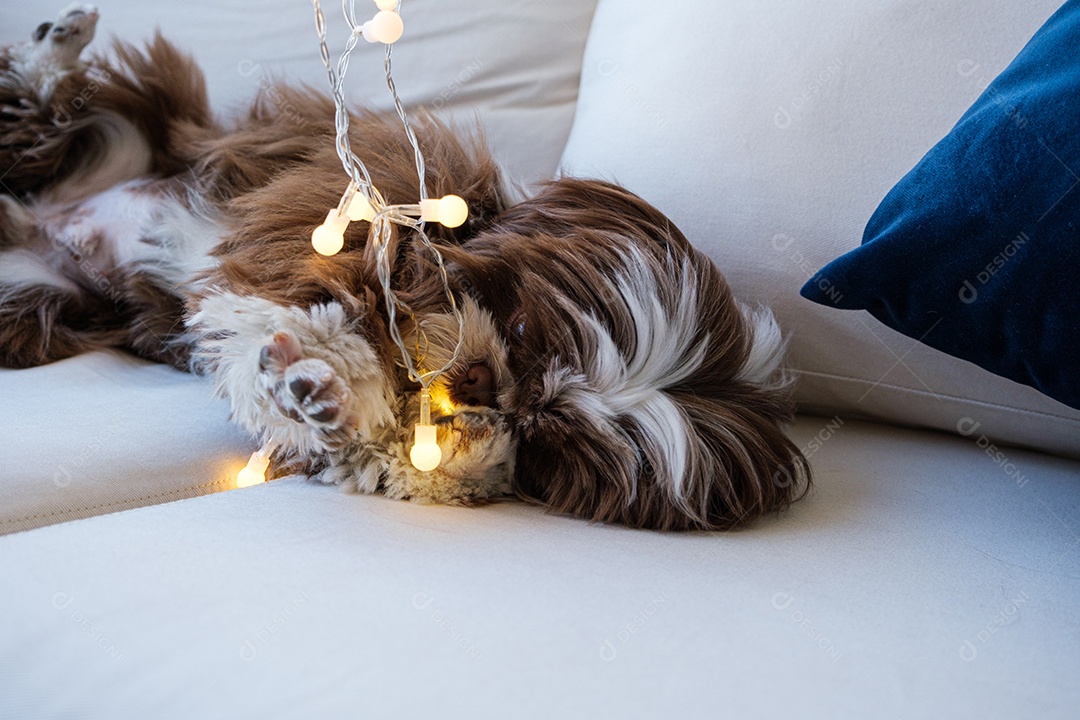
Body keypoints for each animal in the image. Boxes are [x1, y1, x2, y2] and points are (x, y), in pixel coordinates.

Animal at [0, 5, 812, 533]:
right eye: (524, 329)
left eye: (545, 435)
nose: (484, 381)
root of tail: (42, 226)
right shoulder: (348, 204)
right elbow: (297, 300)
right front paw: (321, 365)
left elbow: (378, 443)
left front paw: (341, 403)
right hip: (131, 130)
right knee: (42, 107)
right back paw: (57, 43)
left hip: (35, 303)